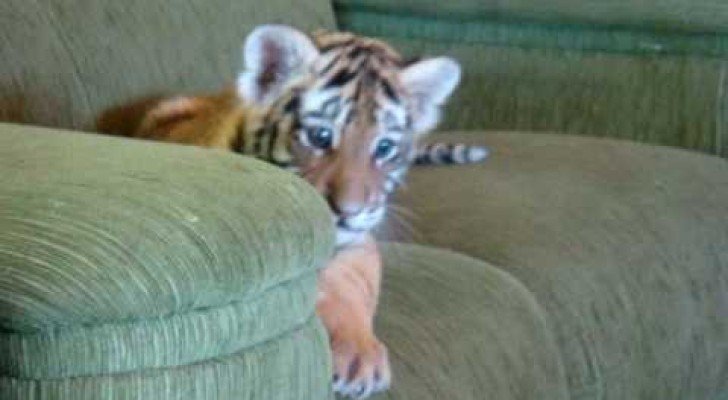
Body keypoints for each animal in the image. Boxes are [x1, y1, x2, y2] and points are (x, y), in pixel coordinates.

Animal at [96, 25, 487, 399]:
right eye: (319, 136)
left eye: (385, 147)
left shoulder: (360, 242)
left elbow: (352, 283)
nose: (348, 211)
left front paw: (358, 357)